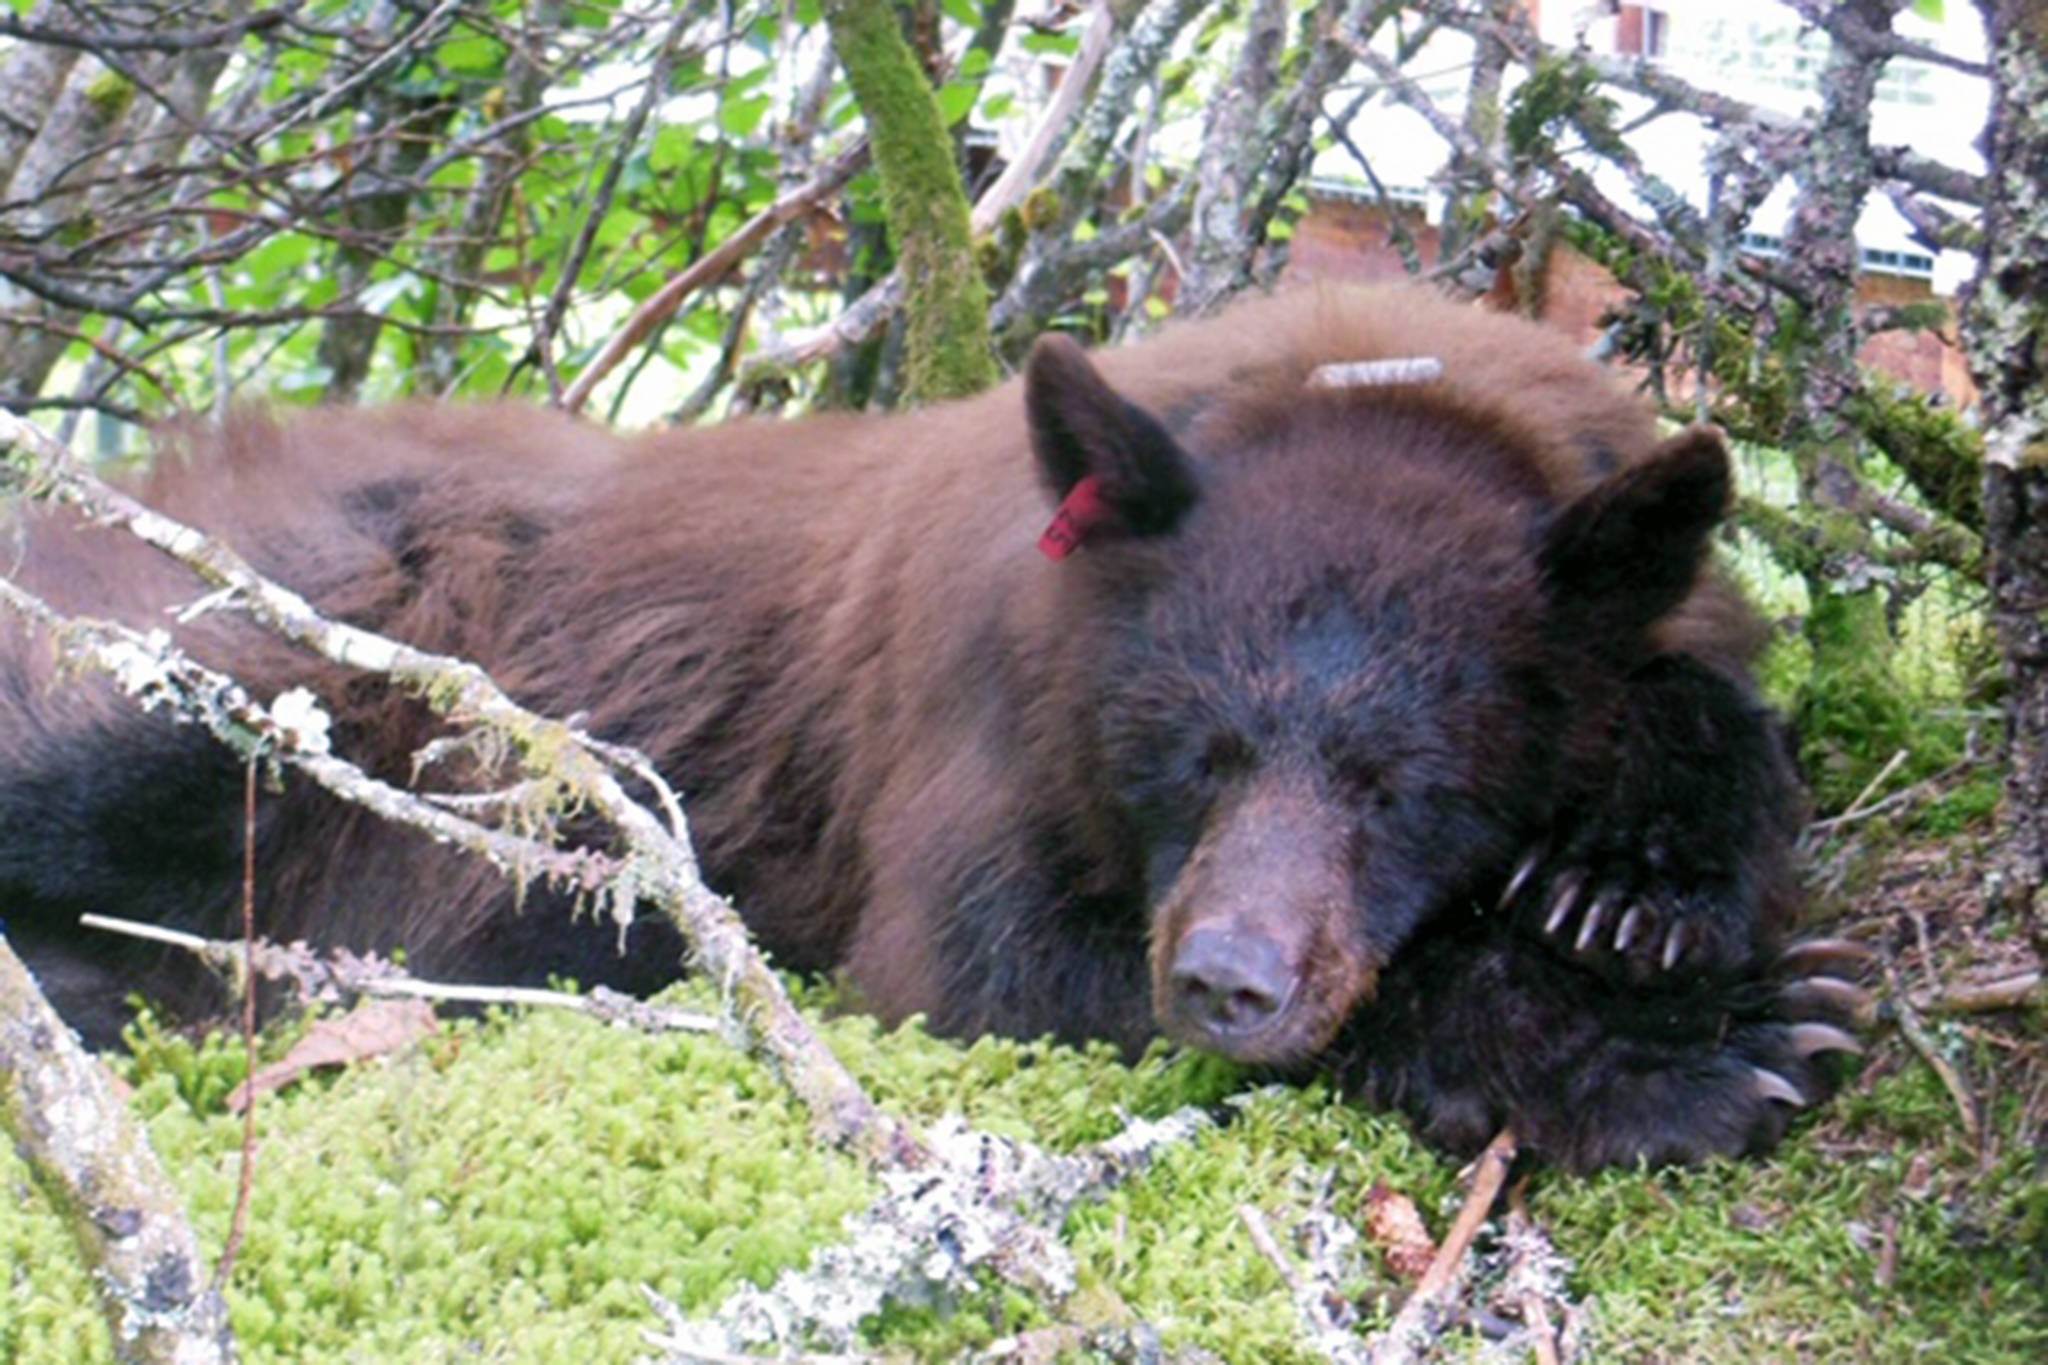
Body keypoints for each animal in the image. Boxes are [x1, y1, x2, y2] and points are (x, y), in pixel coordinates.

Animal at [0, 285, 1862, 1171]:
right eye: (1188, 751)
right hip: (248, 639)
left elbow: (1705, 696)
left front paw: (1637, 889)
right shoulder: (975, 726)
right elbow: (980, 957)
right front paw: (1681, 1052)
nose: (1231, 981)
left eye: (1405, 785)